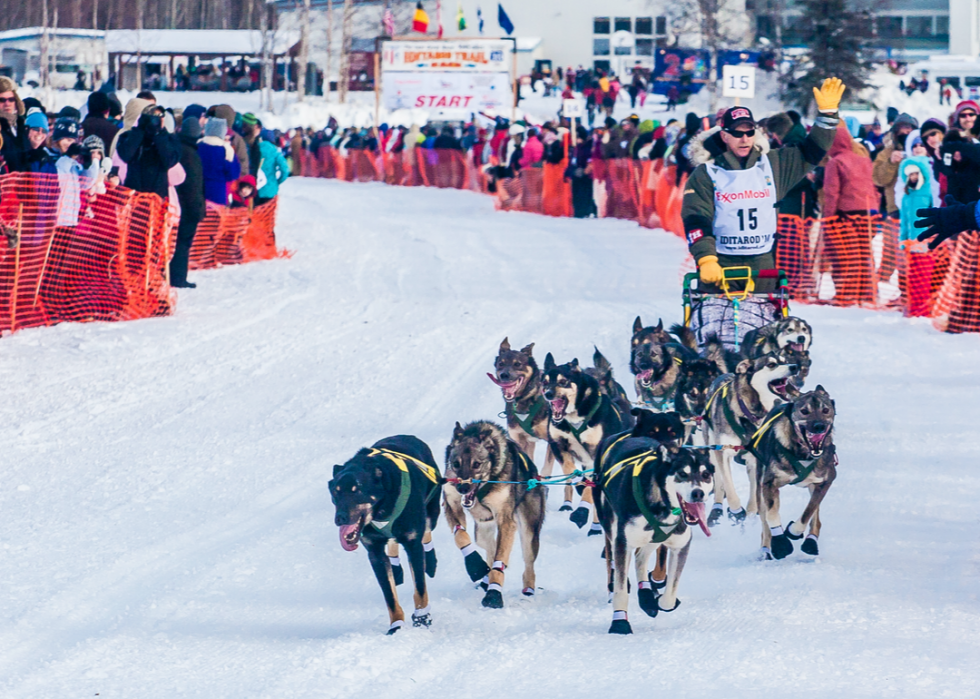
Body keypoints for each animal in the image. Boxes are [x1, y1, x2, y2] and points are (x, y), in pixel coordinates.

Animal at [332, 438, 442, 636]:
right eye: (335, 492)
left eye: (356, 490)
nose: (340, 518)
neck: (382, 510)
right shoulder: (375, 553)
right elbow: (389, 596)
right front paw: (396, 625)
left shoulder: (413, 545)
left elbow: (420, 588)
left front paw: (422, 619)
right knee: (392, 544)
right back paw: (396, 568)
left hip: (432, 513)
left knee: (427, 533)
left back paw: (430, 561)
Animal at [442, 422, 544, 608]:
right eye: (456, 463)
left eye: (476, 464)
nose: (463, 488)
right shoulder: (451, 503)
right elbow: (460, 536)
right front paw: (475, 565)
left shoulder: (506, 521)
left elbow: (500, 560)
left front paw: (494, 594)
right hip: (482, 532)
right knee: (490, 549)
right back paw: (485, 578)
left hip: (528, 531)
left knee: (527, 565)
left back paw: (527, 591)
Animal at [592, 432, 716, 636]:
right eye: (683, 473)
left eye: (705, 475)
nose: (698, 493)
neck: (663, 504)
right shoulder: (623, 541)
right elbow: (620, 590)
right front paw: (620, 623)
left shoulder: (680, 545)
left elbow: (670, 597)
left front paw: (656, 600)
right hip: (612, 529)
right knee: (618, 562)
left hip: (655, 539)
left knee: (640, 558)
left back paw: (646, 596)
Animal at [752, 386, 836, 560]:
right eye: (804, 411)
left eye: (825, 410)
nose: (819, 426)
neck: (803, 454)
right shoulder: (769, 483)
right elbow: (771, 515)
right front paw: (780, 543)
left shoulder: (826, 480)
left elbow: (808, 512)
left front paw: (793, 531)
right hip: (759, 487)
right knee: (764, 524)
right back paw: (766, 550)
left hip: (814, 486)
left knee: (816, 518)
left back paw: (811, 541)